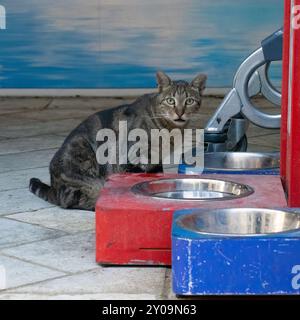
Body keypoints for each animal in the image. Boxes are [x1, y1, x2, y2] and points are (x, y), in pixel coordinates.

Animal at [29, 71, 206, 210]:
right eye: (170, 101)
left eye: (189, 101)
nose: (180, 113)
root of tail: (53, 186)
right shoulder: (130, 158)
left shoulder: (156, 161)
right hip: (84, 159)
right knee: (71, 200)